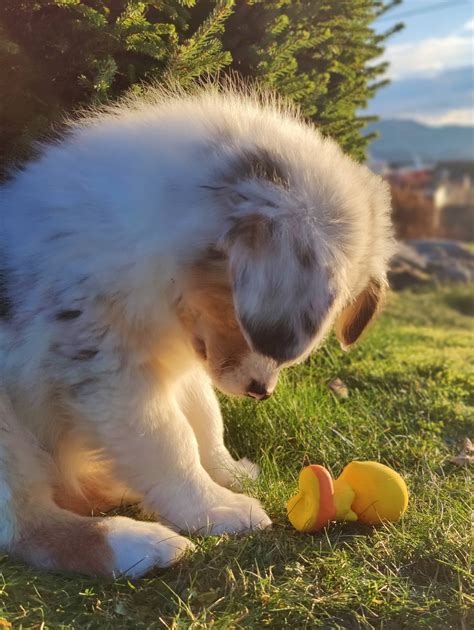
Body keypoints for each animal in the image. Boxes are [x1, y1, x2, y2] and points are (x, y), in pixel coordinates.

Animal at [0, 86, 392, 580]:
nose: (262, 392)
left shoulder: (184, 361)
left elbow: (205, 419)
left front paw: (229, 474)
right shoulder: (107, 370)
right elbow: (169, 440)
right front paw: (216, 508)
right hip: (7, 436)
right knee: (27, 526)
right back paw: (141, 544)